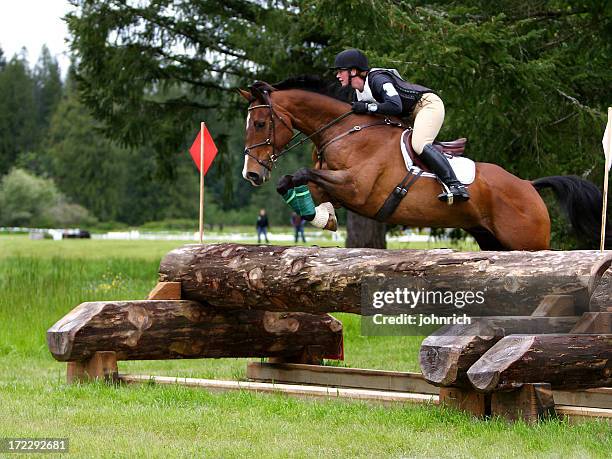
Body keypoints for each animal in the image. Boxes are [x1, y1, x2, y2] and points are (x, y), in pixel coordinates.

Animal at [239, 78, 608, 252]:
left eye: (260, 123)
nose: (251, 174)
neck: (345, 130)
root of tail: (529, 186)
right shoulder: (334, 183)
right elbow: (294, 184)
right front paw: (323, 217)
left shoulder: (357, 189)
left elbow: (302, 174)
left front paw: (323, 216)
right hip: (491, 240)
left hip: (527, 243)